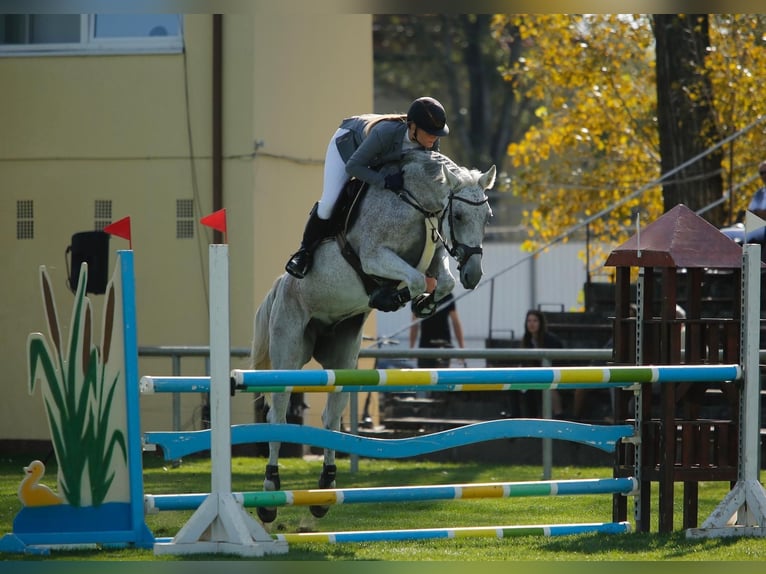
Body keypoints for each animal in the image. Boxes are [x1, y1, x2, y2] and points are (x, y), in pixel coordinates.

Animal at [249, 152, 496, 528]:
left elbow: (442, 281)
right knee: (277, 417)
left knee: (330, 419)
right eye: (458, 215)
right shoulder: (375, 256)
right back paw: (269, 497)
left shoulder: (436, 256)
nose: (474, 274)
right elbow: (414, 278)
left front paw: (425, 303)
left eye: (487, 217)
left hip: (342, 356)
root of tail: (280, 286)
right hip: (287, 352)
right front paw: (393, 296)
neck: (416, 205)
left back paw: (323, 494)